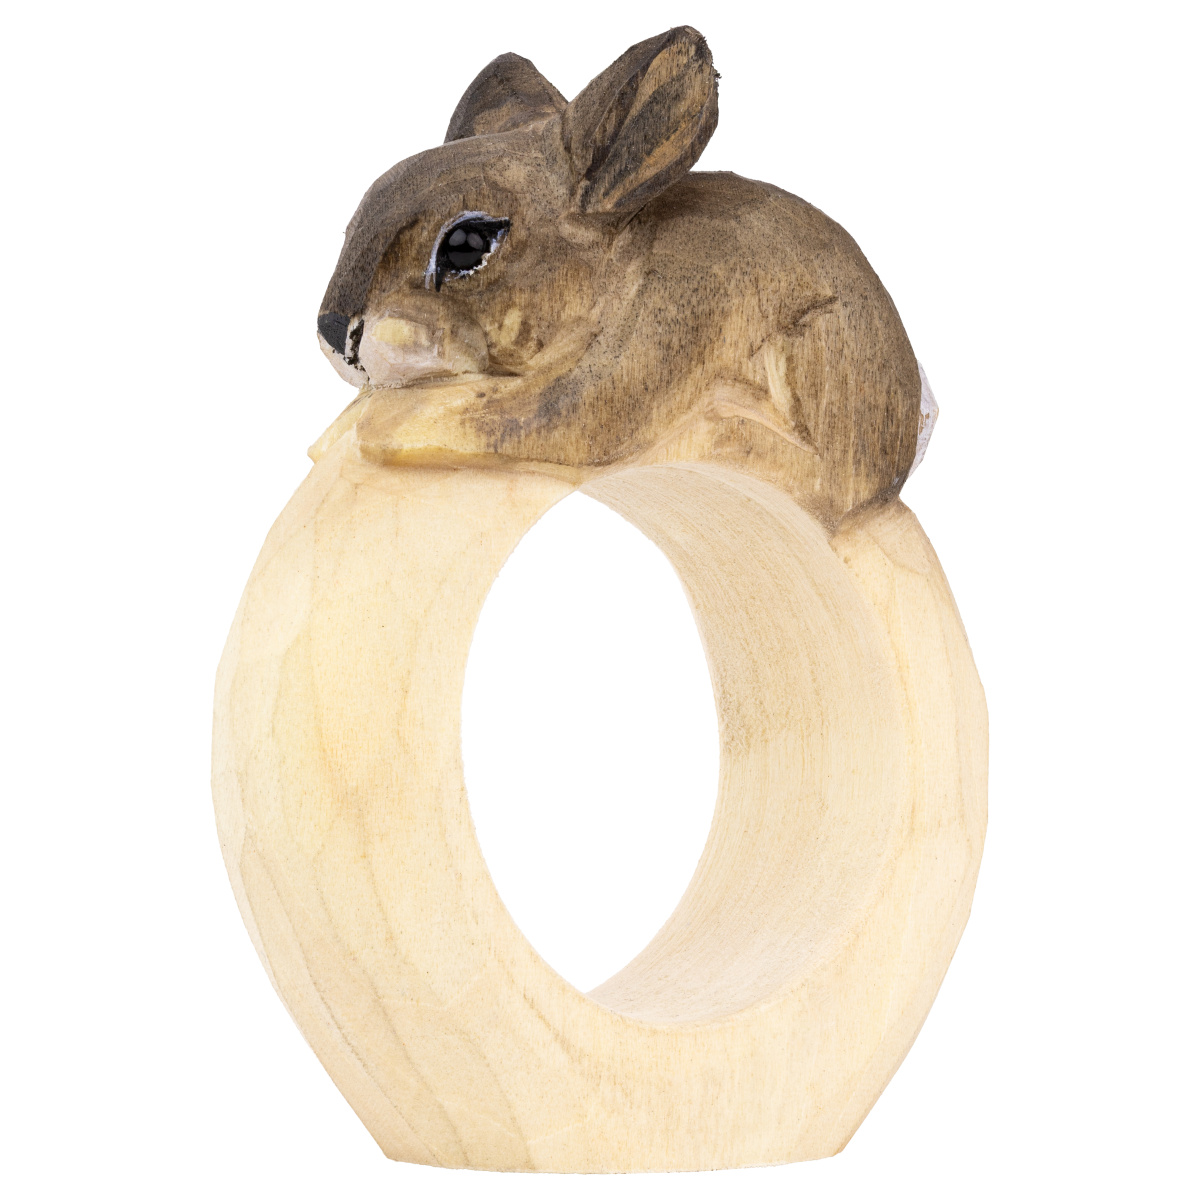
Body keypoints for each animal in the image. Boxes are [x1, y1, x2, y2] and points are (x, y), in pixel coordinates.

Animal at [314, 26, 936, 528]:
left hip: (821, 345)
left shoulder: (643, 350)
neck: (620, 271)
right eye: (357, 218)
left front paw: (375, 430)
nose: (333, 331)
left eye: (466, 245)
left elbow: (492, 416)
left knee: (827, 482)